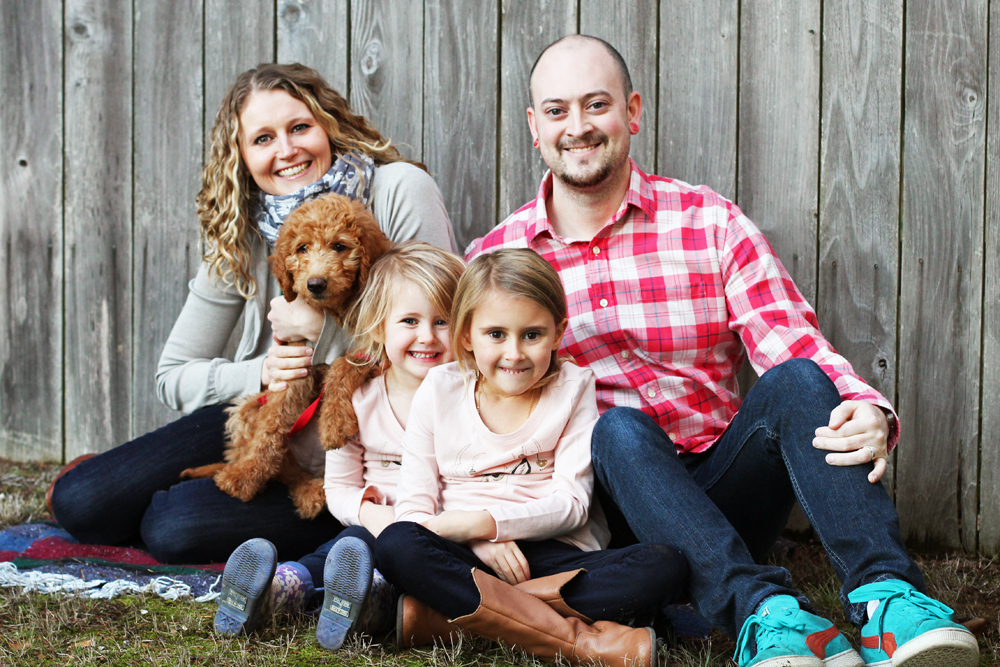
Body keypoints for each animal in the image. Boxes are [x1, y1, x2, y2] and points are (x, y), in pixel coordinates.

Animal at [183, 196, 390, 520]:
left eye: (340, 246)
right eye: (302, 248)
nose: (316, 284)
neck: (332, 312)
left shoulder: (372, 351)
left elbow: (342, 367)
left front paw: (333, 424)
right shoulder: (294, 364)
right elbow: (272, 425)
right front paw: (244, 476)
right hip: (247, 408)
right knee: (282, 468)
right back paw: (301, 488)